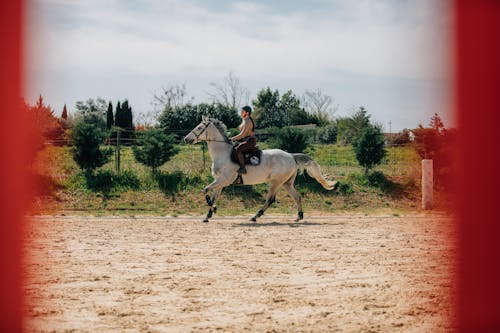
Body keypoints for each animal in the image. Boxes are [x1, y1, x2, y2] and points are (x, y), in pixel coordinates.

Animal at [182, 115, 338, 222]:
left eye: (199, 128)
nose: (186, 139)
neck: (222, 153)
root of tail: (291, 156)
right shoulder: (220, 182)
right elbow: (214, 196)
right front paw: (208, 215)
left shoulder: (223, 180)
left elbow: (205, 191)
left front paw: (212, 209)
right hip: (286, 183)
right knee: (297, 197)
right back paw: (299, 217)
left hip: (275, 182)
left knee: (270, 199)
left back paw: (255, 216)